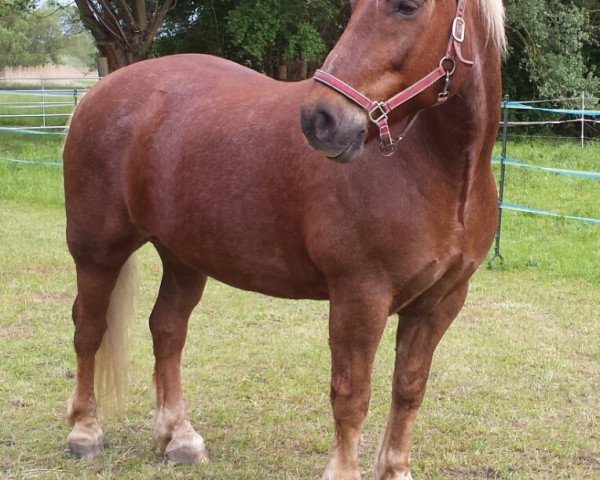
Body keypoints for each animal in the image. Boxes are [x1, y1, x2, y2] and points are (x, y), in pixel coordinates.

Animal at [63, 1, 506, 478]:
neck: (439, 174)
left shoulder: (439, 303)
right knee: (88, 329)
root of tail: (100, 91)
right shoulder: (360, 295)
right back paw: (84, 432)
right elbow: (352, 396)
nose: (320, 120)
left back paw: (178, 437)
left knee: (167, 330)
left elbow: (409, 389)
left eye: (407, 7)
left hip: (183, 257)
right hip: (98, 251)